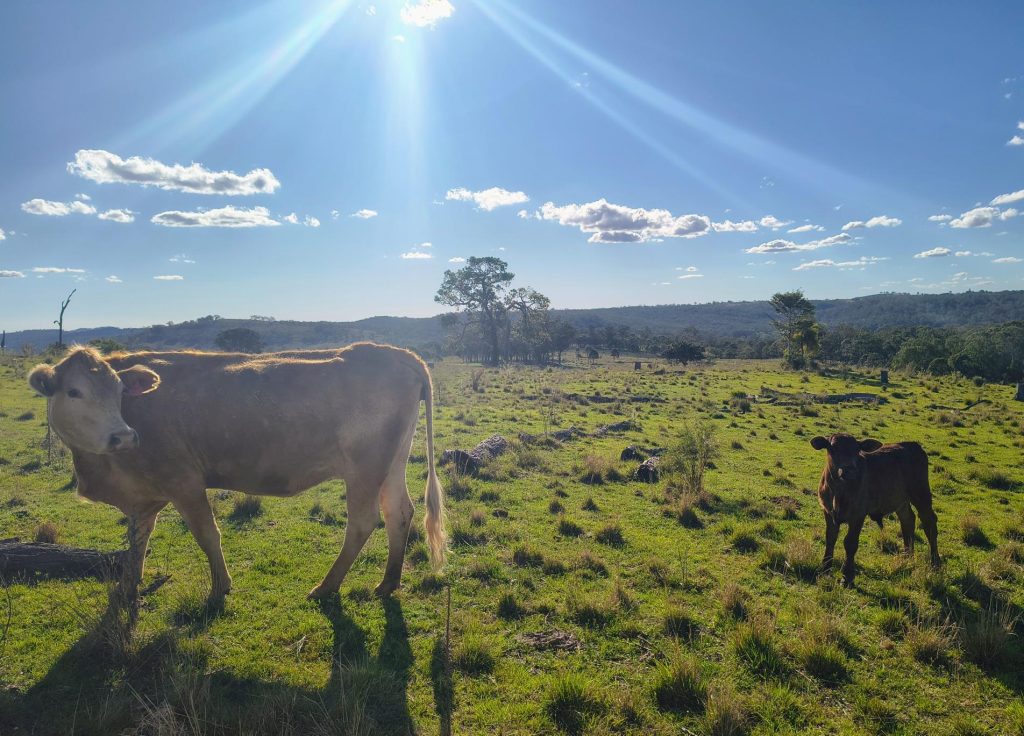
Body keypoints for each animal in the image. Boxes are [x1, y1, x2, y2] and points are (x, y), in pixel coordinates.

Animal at [27, 343, 446, 603]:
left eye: (118, 391)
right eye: (74, 392)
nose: (123, 436)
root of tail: (396, 353)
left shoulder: (184, 481)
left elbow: (207, 534)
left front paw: (219, 588)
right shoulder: (143, 495)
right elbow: (137, 541)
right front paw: (130, 586)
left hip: (364, 468)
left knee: (362, 522)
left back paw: (325, 587)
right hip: (392, 463)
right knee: (399, 512)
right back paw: (388, 582)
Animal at [810, 433, 939, 586]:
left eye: (857, 450)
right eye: (833, 448)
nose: (850, 471)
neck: (838, 492)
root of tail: (913, 444)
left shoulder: (858, 514)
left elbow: (850, 543)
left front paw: (847, 576)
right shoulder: (828, 512)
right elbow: (830, 538)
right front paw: (825, 569)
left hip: (921, 494)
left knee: (929, 523)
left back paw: (935, 563)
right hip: (901, 500)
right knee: (908, 520)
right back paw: (907, 557)